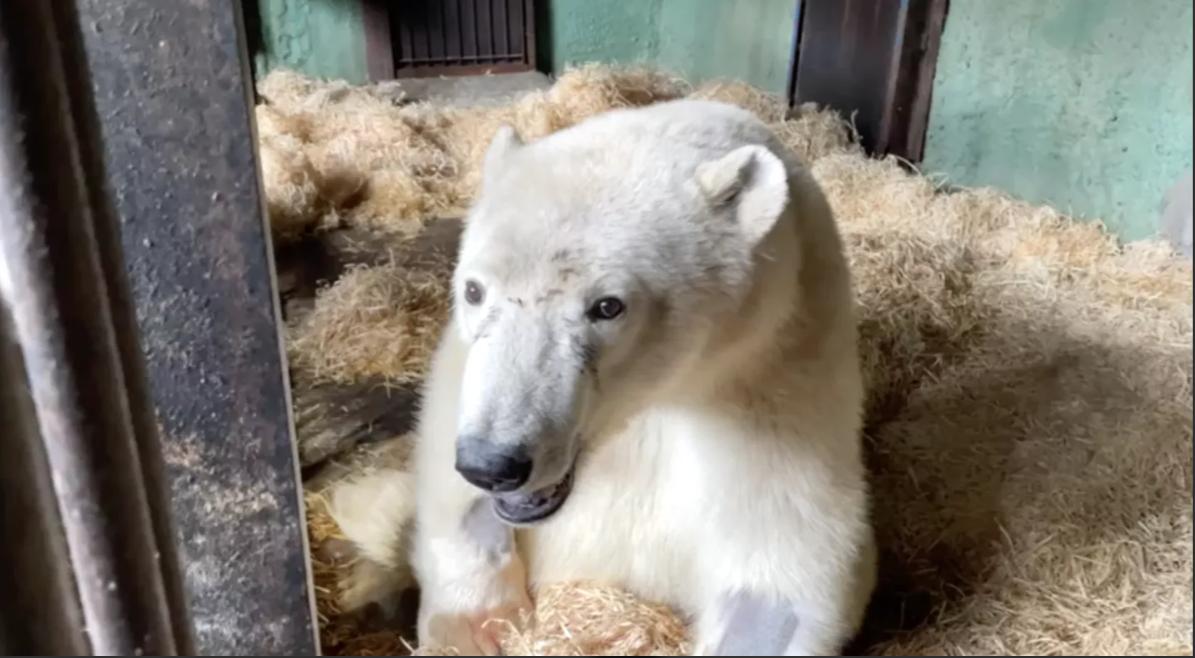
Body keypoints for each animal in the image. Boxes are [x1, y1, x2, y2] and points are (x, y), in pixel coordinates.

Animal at [332, 100, 874, 654]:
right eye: (474, 290)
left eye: (607, 306)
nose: (494, 463)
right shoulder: (464, 366)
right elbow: (448, 481)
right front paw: (478, 626)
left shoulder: (777, 383)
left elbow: (777, 580)